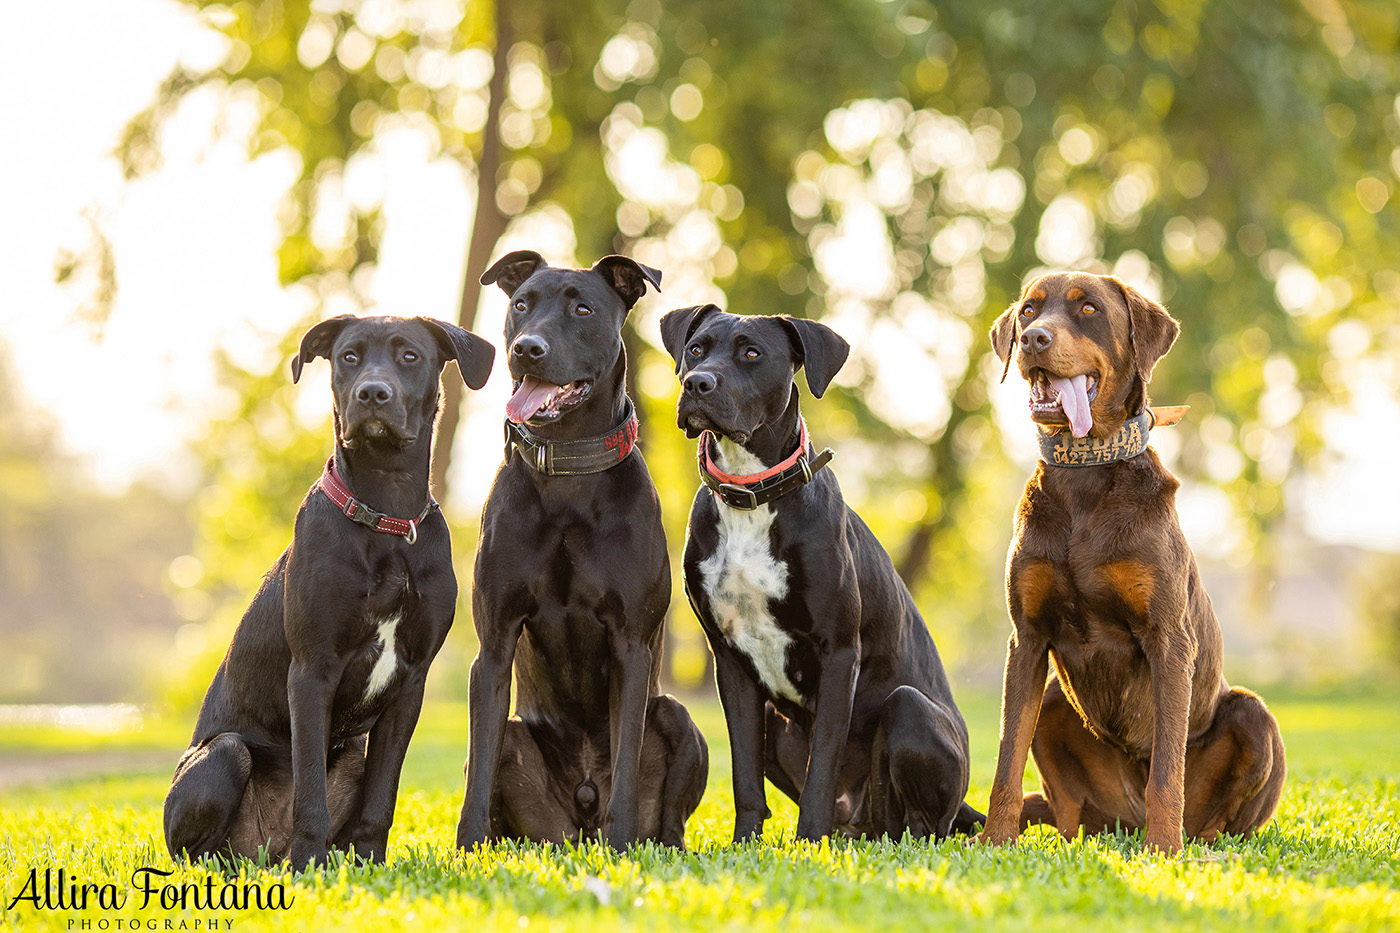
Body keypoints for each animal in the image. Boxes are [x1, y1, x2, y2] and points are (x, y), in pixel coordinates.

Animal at [163, 312, 495, 862]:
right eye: (349, 356)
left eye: (410, 356)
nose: (372, 394)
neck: (386, 514)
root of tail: (265, 849)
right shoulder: (312, 668)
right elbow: (310, 789)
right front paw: (310, 863)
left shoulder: (411, 682)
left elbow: (382, 796)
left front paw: (371, 861)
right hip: (224, 754)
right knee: (206, 847)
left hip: (356, 750)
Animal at [456, 250, 705, 846]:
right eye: (522, 304)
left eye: (583, 309)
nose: (527, 348)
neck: (568, 465)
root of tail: (582, 804)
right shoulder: (494, 645)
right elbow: (479, 767)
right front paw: (465, 850)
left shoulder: (632, 644)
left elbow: (626, 755)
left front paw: (622, 846)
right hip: (525, 759)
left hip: (680, 721)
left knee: (665, 812)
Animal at [658, 301, 980, 840]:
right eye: (696, 349)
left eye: (751, 353)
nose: (697, 382)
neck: (751, 492)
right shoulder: (730, 661)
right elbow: (744, 773)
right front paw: (745, 843)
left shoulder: (838, 652)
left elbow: (822, 768)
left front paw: (809, 841)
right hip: (779, 723)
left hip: (909, 709)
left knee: (920, 824)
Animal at [980, 268, 1282, 851]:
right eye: (1029, 310)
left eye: (1089, 310)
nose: (1033, 340)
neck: (1085, 472)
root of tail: (1126, 820)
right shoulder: (1026, 637)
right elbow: (1007, 759)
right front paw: (992, 843)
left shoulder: (1168, 637)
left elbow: (1167, 766)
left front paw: (1163, 851)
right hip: (1058, 708)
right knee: (1065, 811)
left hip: (1254, 719)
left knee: (1218, 816)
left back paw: (1188, 845)